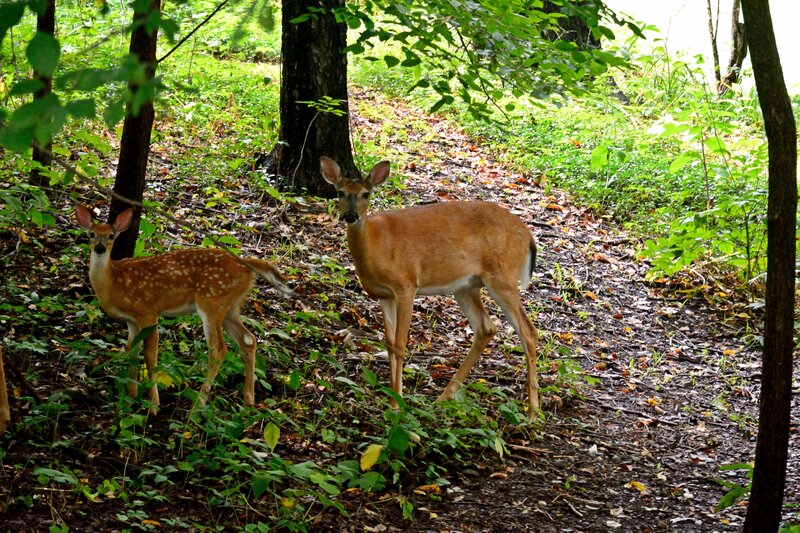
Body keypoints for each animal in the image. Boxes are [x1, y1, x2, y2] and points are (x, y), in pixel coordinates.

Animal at [75, 204, 295, 412]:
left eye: (111, 236)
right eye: (91, 234)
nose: (100, 248)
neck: (115, 283)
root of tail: (247, 266)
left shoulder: (148, 311)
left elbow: (150, 355)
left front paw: (153, 405)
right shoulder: (131, 320)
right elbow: (132, 352)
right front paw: (130, 399)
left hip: (211, 301)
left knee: (219, 349)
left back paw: (197, 406)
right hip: (230, 306)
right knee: (248, 340)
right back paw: (248, 401)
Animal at [320, 157, 540, 420]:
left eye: (366, 193)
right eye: (340, 192)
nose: (350, 216)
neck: (376, 246)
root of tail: (528, 235)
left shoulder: (406, 284)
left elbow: (400, 343)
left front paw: (397, 403)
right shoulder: (384, 295)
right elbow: (389, 343)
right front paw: (391, 397)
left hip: (502, 276)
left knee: (528, 332)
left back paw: (532, 412)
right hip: (466, 286)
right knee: (486, 328)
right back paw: (443, 397)